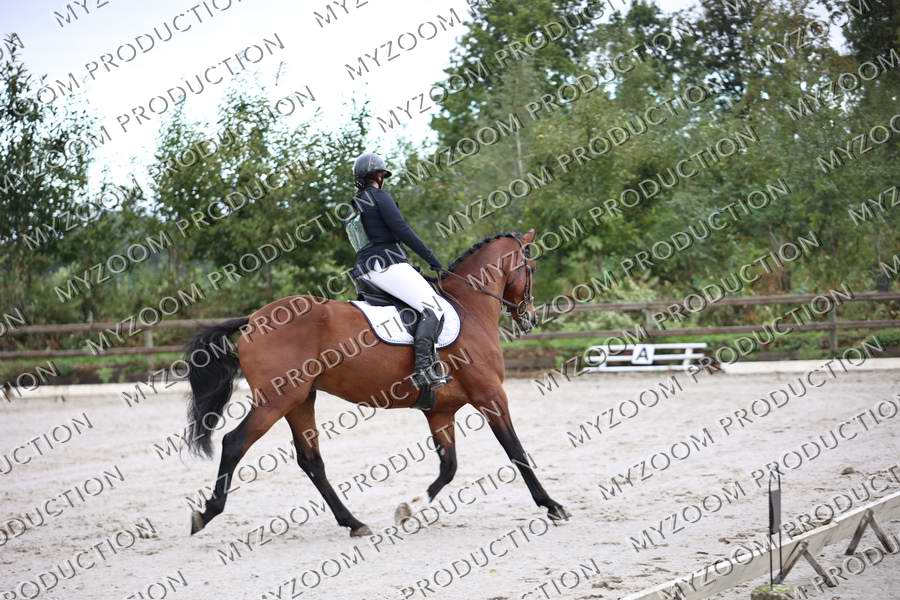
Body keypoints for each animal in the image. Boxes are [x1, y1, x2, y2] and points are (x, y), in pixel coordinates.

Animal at [184, 229, 570, 537]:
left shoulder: (441, 411)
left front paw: (408, 508)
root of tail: (253, 319)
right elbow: (516, 451)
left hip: (300, 400)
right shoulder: (491, 396)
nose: (530, 319)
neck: (469, 308)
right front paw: (552, 505)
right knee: (235, 443)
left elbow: (449, 466)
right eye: (531, 269)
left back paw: (353, 523)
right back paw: (206, 513)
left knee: (311, 460)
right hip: (276, 400)